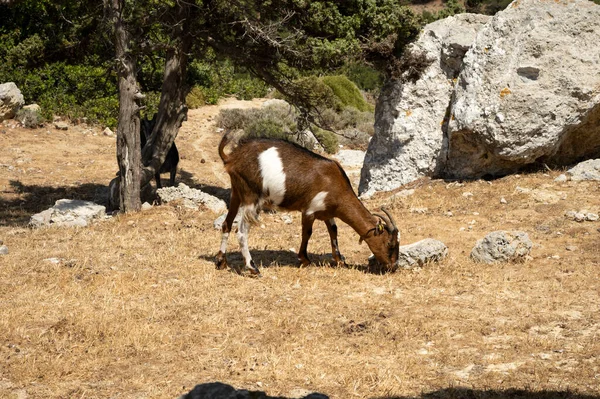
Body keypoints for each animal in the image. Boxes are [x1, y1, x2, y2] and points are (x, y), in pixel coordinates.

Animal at [213, 134, 400, 276]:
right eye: (390, 244)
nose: (393, 267)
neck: (334, 183)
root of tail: (232, 158)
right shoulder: (309, 210)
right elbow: (307, 233)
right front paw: (304, 259)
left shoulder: (327, 213)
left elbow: (334, 231)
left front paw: (340, 260)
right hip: (252, 198)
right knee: (242, 232)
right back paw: (253, 268)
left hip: (236, 193)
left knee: (226, 224)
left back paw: (221, 262)